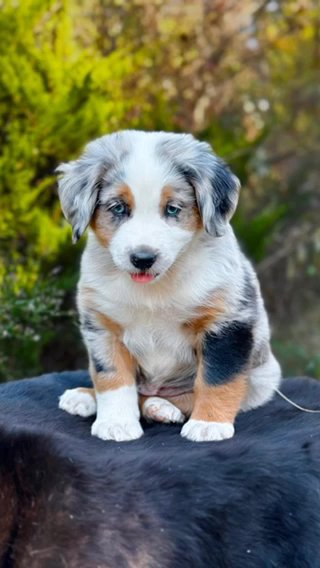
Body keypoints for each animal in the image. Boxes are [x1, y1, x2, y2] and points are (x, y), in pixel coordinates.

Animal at [56, 132, 282, 444]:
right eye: (118, 208)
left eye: (172, 209)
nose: (142, 258)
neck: (155, 288)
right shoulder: (103, 325)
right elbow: (112, 378)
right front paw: (116, 423)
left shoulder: (226, 322)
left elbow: (218, 377)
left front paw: (209, 425)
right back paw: (88, 397)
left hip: (264, 375)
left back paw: (161, 407)